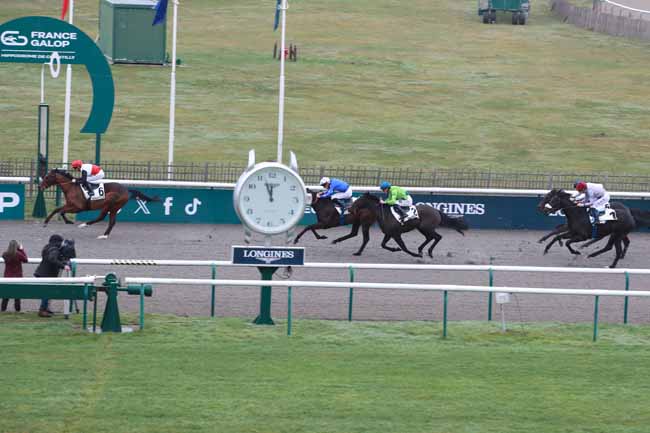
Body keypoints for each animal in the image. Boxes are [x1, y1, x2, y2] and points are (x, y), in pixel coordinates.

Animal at [332, 192, 468, 257]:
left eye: (359, 201)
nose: (350, 209)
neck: (383, 213)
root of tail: (436, 211)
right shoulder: (389, 233)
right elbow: (383, 244)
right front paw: (395, 249)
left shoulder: (396, 234)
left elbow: (404, 247)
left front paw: (413, 255)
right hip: (422, 228)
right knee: (431, 237)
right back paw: (421, 250)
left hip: (426, 227)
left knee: (437, 237)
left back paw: (427, 252)